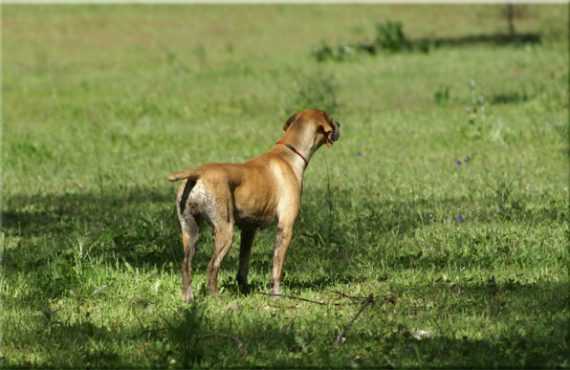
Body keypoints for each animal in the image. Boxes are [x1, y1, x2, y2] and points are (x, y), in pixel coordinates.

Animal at [166, 108, 340, 302]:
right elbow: (276, 268)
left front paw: (245, 289)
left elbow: (243, 265)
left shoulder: (248, 230)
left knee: (186, 265)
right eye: (331, 119)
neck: (289, 153)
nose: (340, 124)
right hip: (225, 233)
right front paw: (276, 295)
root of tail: (198, 173)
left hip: (191, 232)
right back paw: (216, 297)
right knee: (212, 266)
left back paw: (188, 298)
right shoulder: (285, 228)